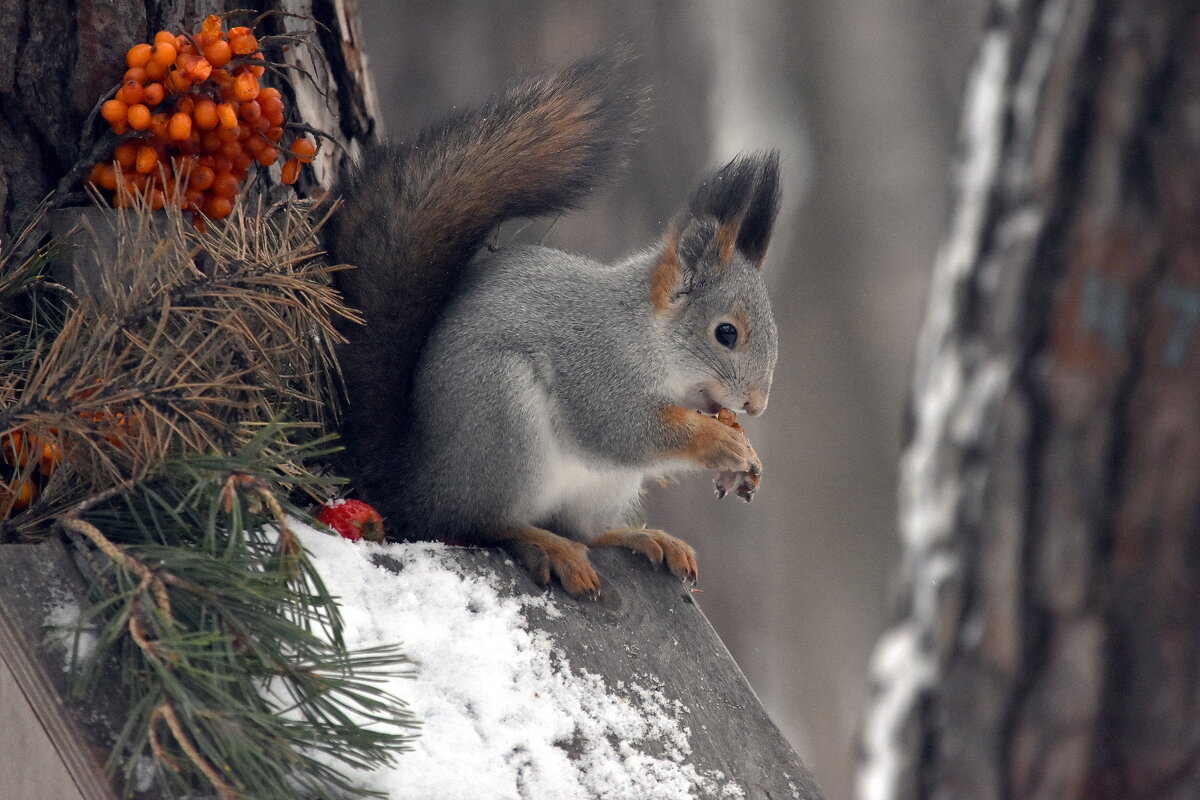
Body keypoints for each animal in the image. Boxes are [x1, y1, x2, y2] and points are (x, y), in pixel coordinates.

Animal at [324, 51, 782, 594]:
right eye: (725, 333)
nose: (755, 405)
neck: (646, 337)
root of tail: (418, 480)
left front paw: (746, 458)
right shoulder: (597, 366)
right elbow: (626, 429)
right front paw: (721, 443)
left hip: (600, 485)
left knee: (585, 528)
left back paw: (641, 537)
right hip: (505, 423)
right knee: (480, 522)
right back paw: (547, 546)